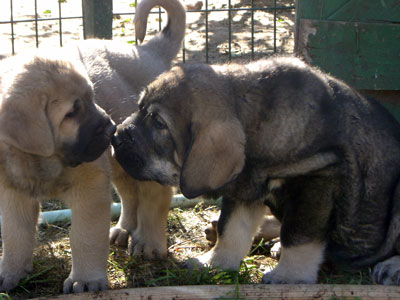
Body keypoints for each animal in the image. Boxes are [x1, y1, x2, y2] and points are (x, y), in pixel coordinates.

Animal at [111, 57, 400, 284]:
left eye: (158, 123)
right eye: (140, 108)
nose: (115, 136)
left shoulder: (317, 179)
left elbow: (299, 235)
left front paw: (289, 277)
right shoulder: (245, 187)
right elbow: (231, 229)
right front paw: (214, 263)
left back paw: (390, 268)